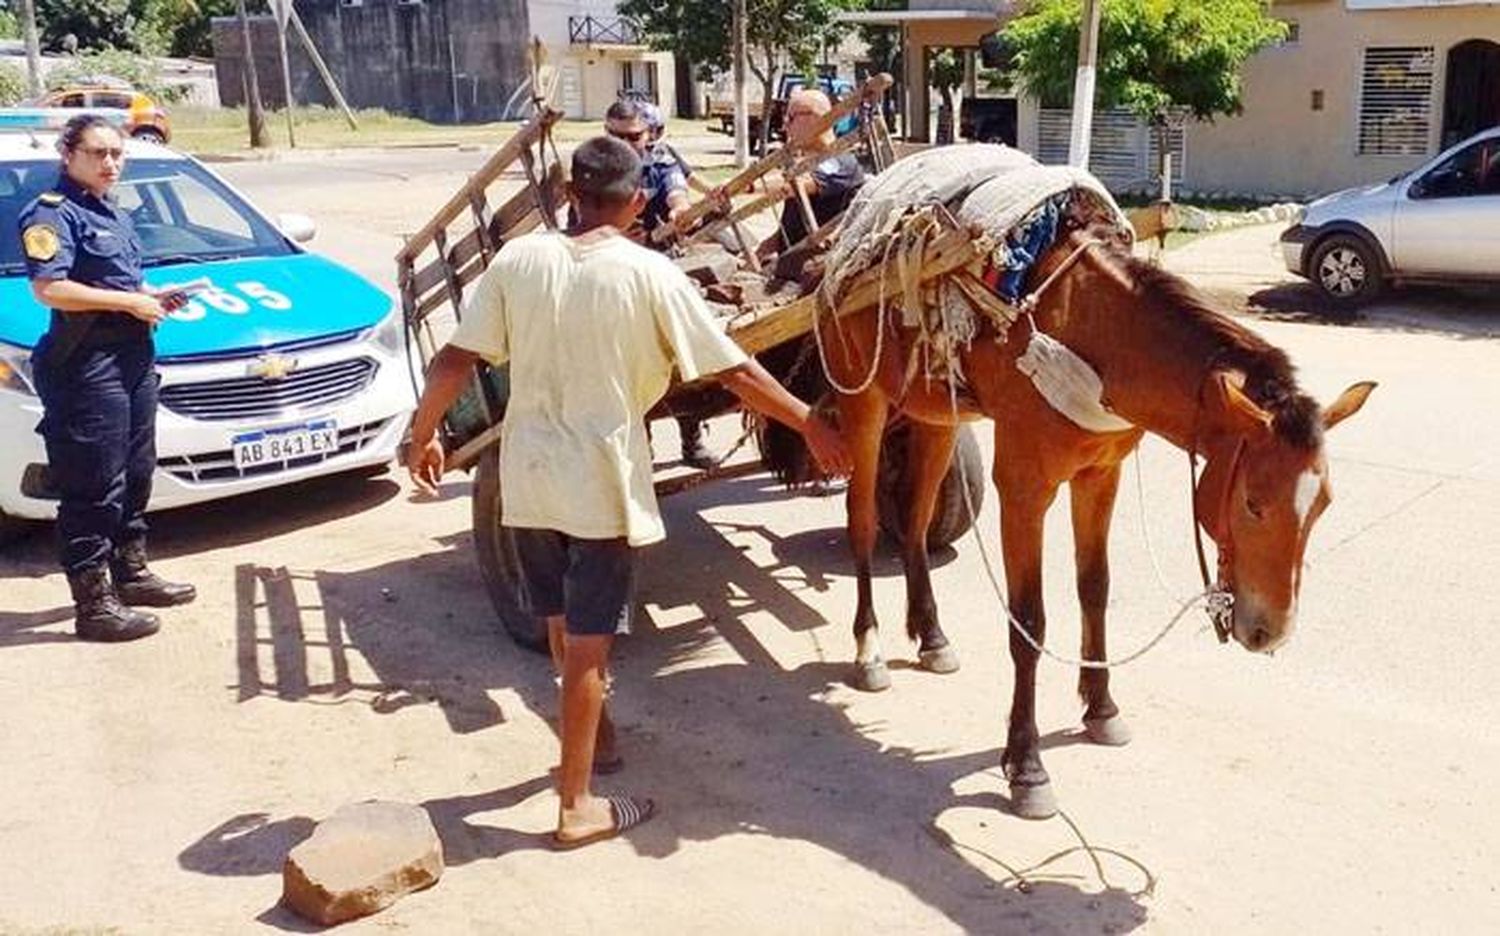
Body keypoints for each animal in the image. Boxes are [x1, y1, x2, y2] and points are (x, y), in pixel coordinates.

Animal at [822, 220, 1374, 816]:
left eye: (1323, 504)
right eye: (1253, 503)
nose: (1270, 632)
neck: (1094, 336)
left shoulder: (1100, 475)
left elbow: (1094, 590)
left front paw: (1102, 709)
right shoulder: (1024, 488)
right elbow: (1030, 622)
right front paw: (1027, 766)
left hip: (936, 413)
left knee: (917, 519)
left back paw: (931, 636)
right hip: (864, 401)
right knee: (861, 519)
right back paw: (869, 648)